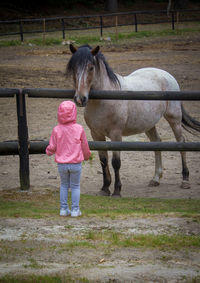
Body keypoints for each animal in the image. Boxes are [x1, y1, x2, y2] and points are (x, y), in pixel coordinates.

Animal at [67, 44, 200, 197]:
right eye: (74, 68)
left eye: (91, 67)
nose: (80, 99)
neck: (105, 98)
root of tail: (166, 74)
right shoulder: (96, 134)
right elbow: (103, 160)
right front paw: (105, 188)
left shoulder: (116, 134)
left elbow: (116, 162)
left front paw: (117, 191)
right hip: (148, 124)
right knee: (157, 143)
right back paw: (155, 179)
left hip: (174, 119)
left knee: (181, 143)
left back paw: (185, 180)